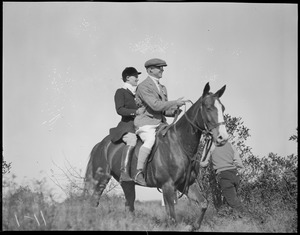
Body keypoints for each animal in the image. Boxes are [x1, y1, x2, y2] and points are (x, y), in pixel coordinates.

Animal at [83, 82, 229, 229]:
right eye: (208, 108)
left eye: (222, 108)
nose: (223, 137)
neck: (179, 143)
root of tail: (101, 144)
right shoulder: (168, 186)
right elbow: (172, 220)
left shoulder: (187, 184)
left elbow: (203, 204)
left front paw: (194, 226)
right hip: (101, 179)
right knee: (93, 202)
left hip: (127, 184)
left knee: (128, 206)